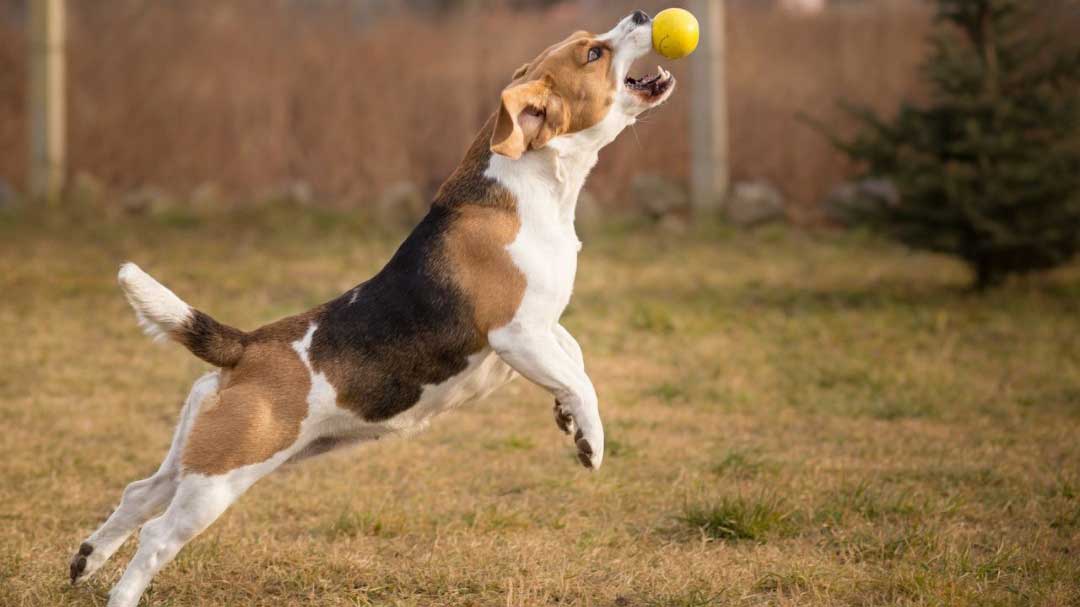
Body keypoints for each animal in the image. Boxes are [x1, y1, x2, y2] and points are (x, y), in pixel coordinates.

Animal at [69, 10, 673, 604]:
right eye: (593, 53)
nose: (643, 13)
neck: (529, 187)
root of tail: (246, 347)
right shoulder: (517, 333)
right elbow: (582, 381)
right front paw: (590, 440)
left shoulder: (544, 327)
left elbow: (575, 359)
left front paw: (566, 418)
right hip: (220, 479)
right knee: (155, 537)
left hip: (196, 459)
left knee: (138, 494)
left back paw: (86, 560)